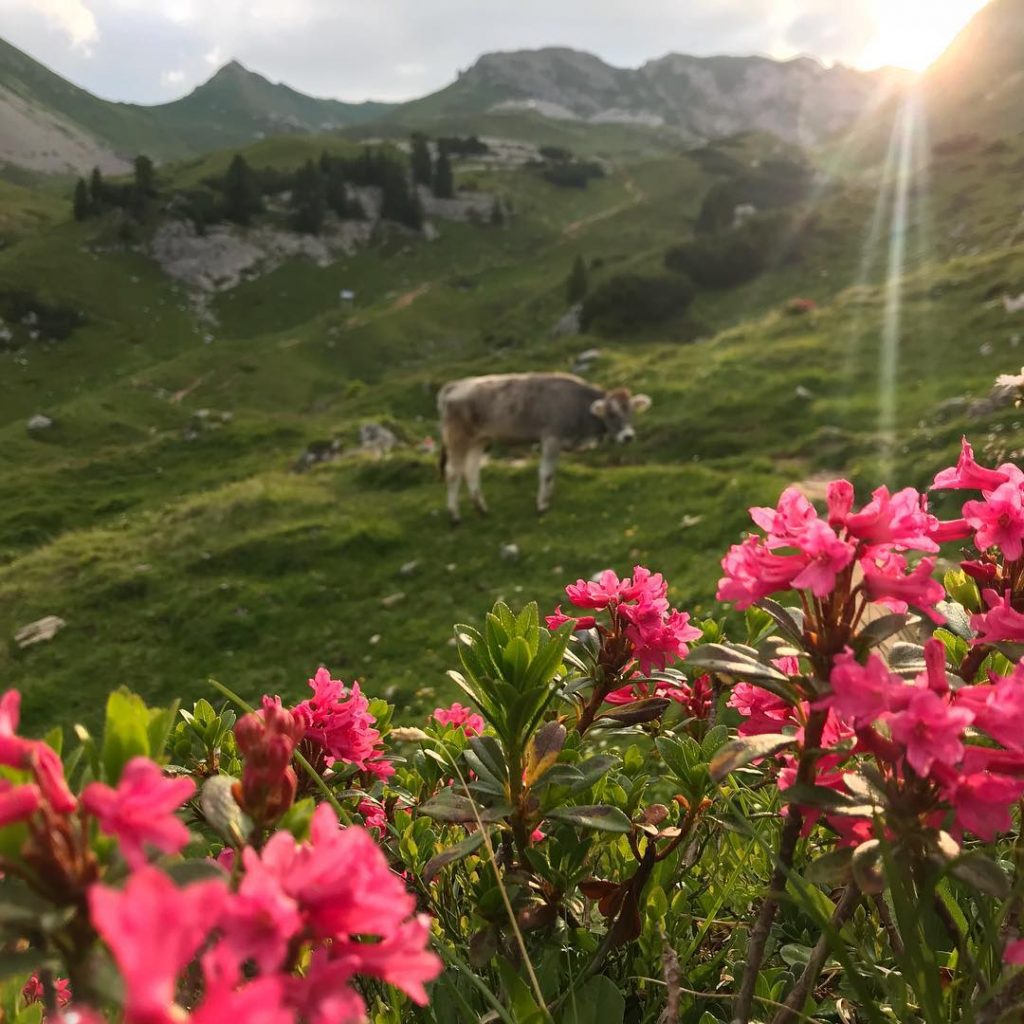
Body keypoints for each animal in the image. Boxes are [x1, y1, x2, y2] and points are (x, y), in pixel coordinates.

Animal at [436, 372, 651, 524]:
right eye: (611, 413)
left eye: (631, 411)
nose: (628, 436)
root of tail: (454, 385)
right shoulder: (551, 438)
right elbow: (546, 473)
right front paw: (542, 506)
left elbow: (552, 472)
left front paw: (548, 499)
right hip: (458, 437)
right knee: (453, 473)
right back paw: (455, 516)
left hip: (478, 439)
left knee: (471, 470)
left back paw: (482, 509)